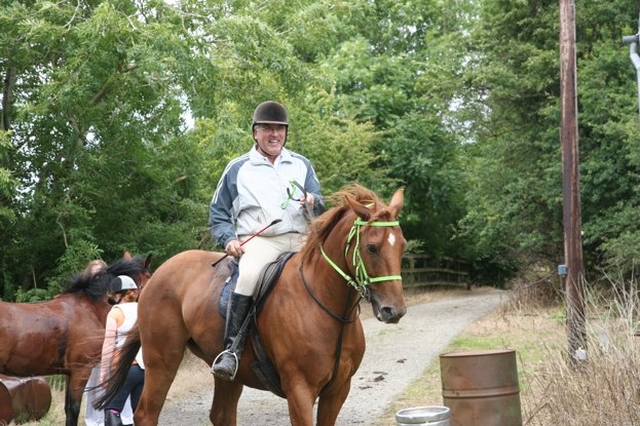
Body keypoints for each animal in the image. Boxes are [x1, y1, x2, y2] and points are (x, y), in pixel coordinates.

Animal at [0, 253, 151, 426]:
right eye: (150, 276)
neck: (89, 309)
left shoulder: (69, 373)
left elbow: (68, 408)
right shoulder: (81, 370)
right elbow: (73, 410)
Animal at [103, 184, 408, 426]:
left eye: (402, 245)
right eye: (371, 247)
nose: (394, 311)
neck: (327, 307)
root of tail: (159, 274)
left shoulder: (338, 389)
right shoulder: (300, 389)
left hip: (224, 373)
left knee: (221, 415)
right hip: (162, 360)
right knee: (146, 414)